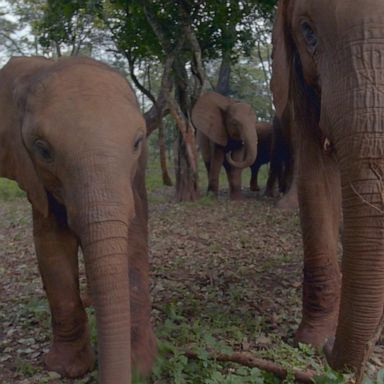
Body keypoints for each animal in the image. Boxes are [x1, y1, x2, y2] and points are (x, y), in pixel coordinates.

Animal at [0, 57, 156, 384]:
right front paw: (67, 368)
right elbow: (52, 246)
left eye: (137, 143)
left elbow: (135, 238)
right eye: (42, 149)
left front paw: (140, 367)